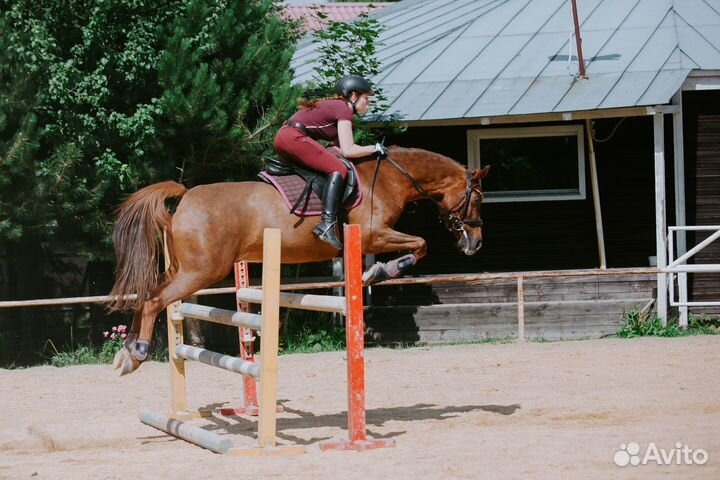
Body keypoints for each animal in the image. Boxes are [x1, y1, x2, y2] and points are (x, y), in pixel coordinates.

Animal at [108, 147, 490, 376]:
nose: (476, 244)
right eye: (477, 199)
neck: (390, 178)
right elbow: (420, 244)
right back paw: (138, 352)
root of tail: (186, 195)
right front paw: (380, 271)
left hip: (186, 268)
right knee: (155, 299)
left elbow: (419, 245)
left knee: (146, 295)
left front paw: (378, 271)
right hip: (201, 271)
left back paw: (126, 352)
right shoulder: (372, 235)